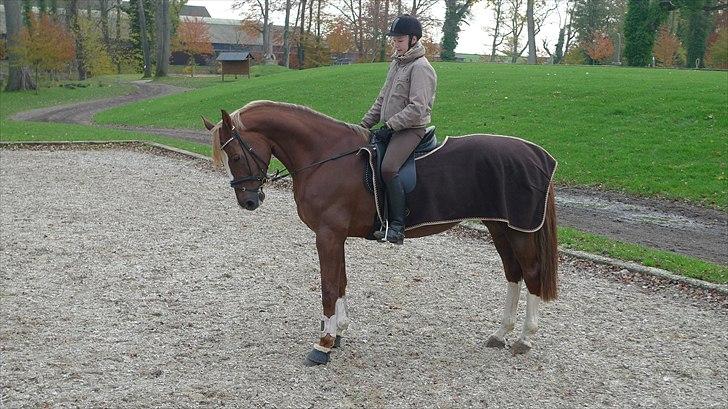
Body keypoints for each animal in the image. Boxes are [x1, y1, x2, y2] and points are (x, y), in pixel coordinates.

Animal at [202, 100, 560, 364]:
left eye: (237, 155)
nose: (248, 201)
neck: (325, 157)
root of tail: (537, 154)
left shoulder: (328, 234)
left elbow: (329, 286)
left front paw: (324, 343)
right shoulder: (335, 236)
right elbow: (341, 280)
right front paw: (339, 331)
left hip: (519, 230)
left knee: (531, 273)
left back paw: (525, 338)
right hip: (500, 227)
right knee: (513, 273)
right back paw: (501, 334)